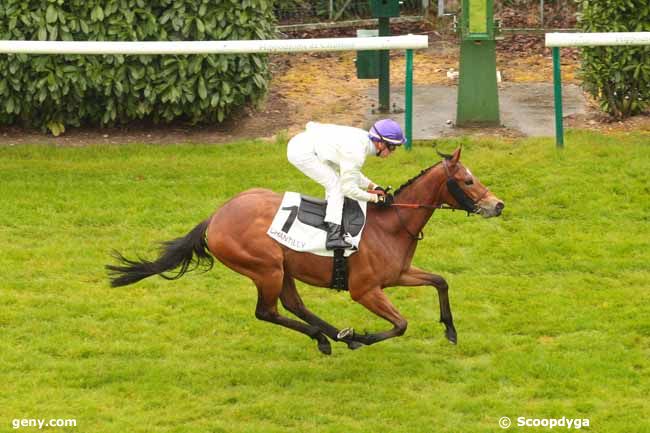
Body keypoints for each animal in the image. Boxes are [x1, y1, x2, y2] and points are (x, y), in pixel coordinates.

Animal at [105, 147, 502, 352]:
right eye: (468, 181)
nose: (497, 205)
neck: (392, 223)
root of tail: (215, 216)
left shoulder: (398, 275)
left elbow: (440, 281)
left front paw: (450, 331)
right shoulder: (365, 290)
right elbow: (401, 324)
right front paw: (365, 337)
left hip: (282, 267)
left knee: (293, 304)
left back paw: (334, 335)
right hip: (265, 267)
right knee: (267, 311)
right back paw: (332, 337)